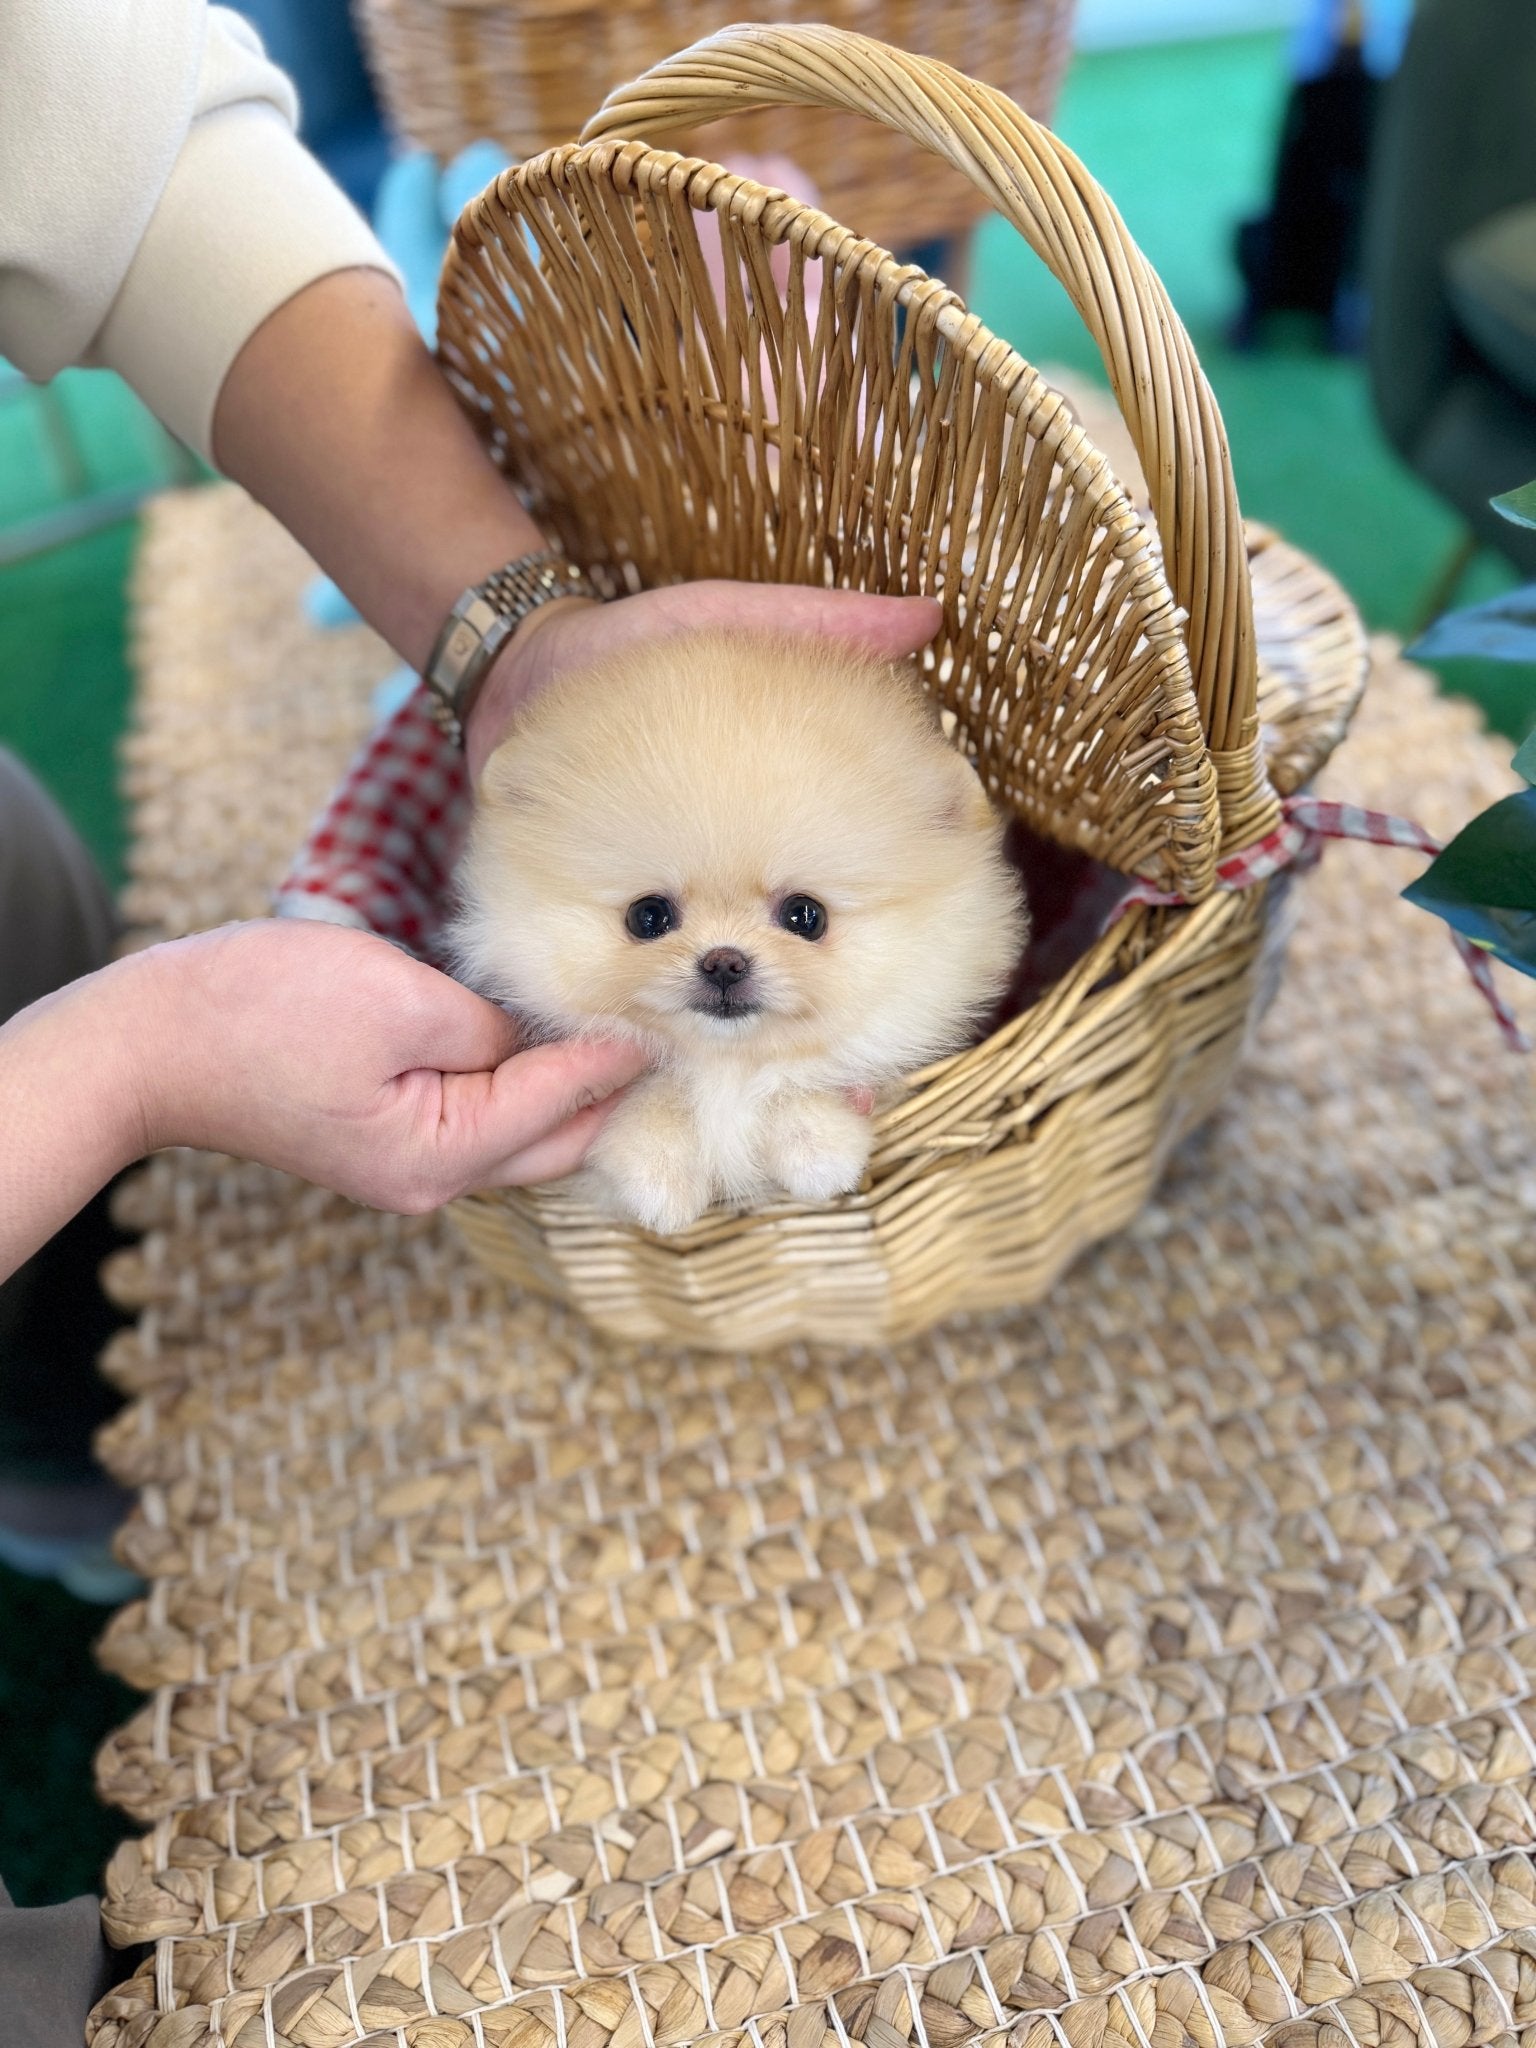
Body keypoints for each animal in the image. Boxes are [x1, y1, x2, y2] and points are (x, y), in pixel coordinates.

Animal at [456, 630, 1036, 1228]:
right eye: (648, 916)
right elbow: (654, 1094)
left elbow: (799, 1080)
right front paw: (657, 1179)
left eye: (805, 915)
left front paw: (817, 1149)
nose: (724, 961)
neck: (727, 1068)